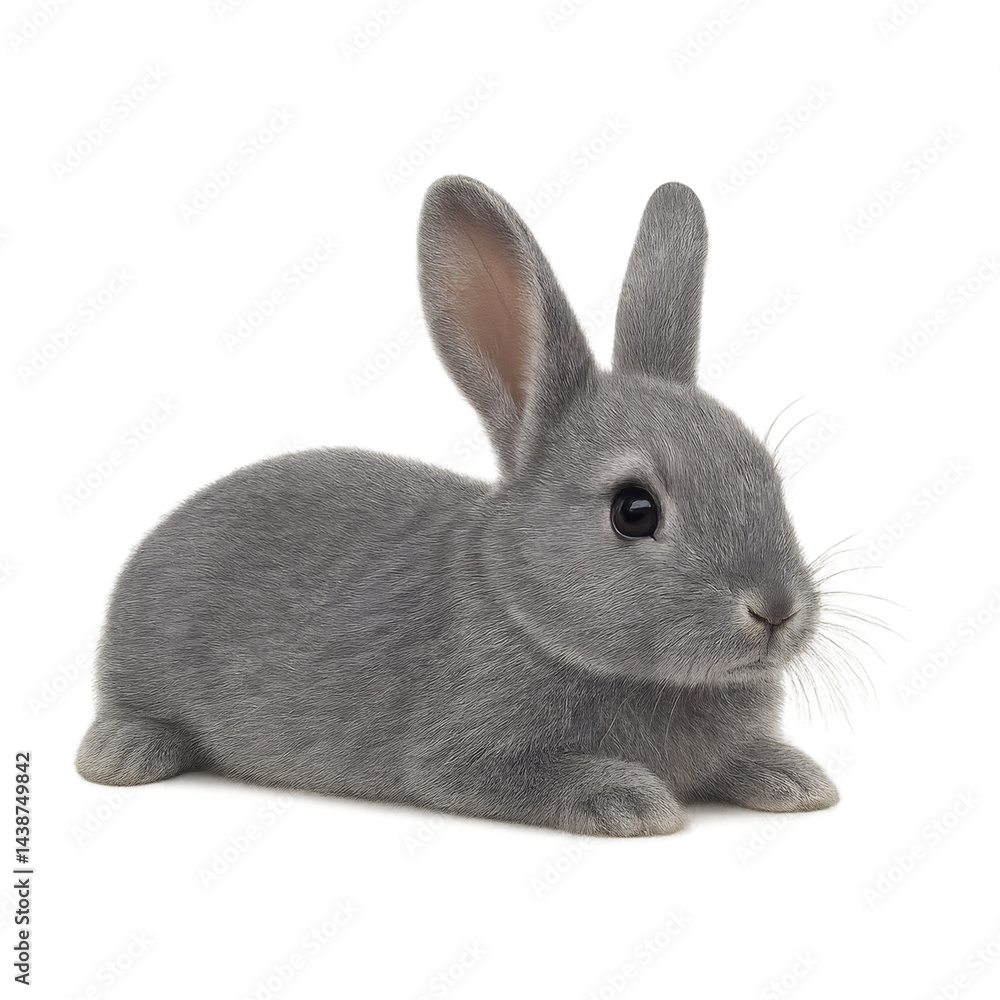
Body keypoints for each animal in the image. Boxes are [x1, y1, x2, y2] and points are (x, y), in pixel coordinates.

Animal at [76, 175, 838, 837]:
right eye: (634, 511)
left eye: (768, 474)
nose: (776, 610)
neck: (523, 607)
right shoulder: (457, 758)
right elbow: (516, 775)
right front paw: (628, 800)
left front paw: (796, 780)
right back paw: (120, 755)